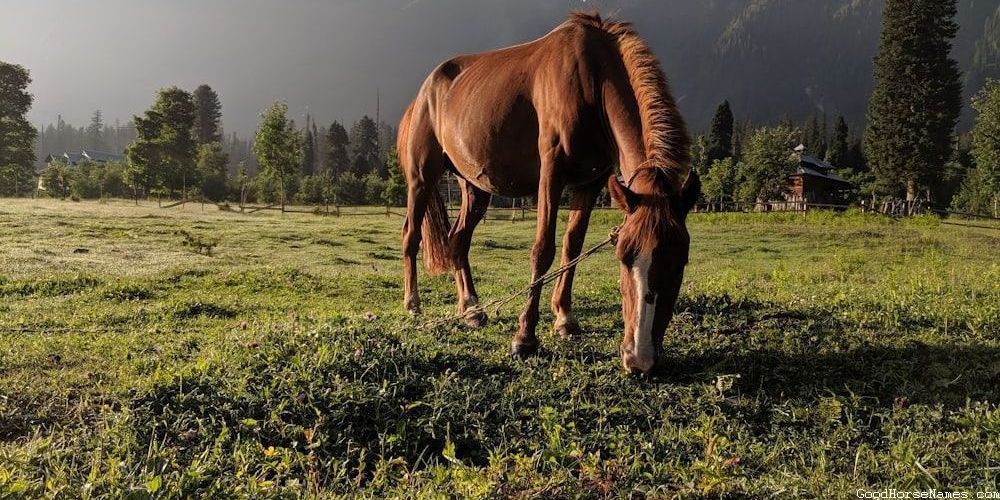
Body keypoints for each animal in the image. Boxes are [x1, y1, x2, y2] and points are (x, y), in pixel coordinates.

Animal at [397, 12, 700, 374]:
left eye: (680, 260)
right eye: (624, 257)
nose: (639, 358)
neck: (592, 78)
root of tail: (423, 93)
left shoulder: (591, 181)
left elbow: (573, 246)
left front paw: (565, 319)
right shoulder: (551, 172)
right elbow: (543, 249)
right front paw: (525, 337)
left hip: (475, 187)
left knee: (458, 240)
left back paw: (471, 309)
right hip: (422, 178)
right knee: (411, 235)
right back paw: (413, 304)